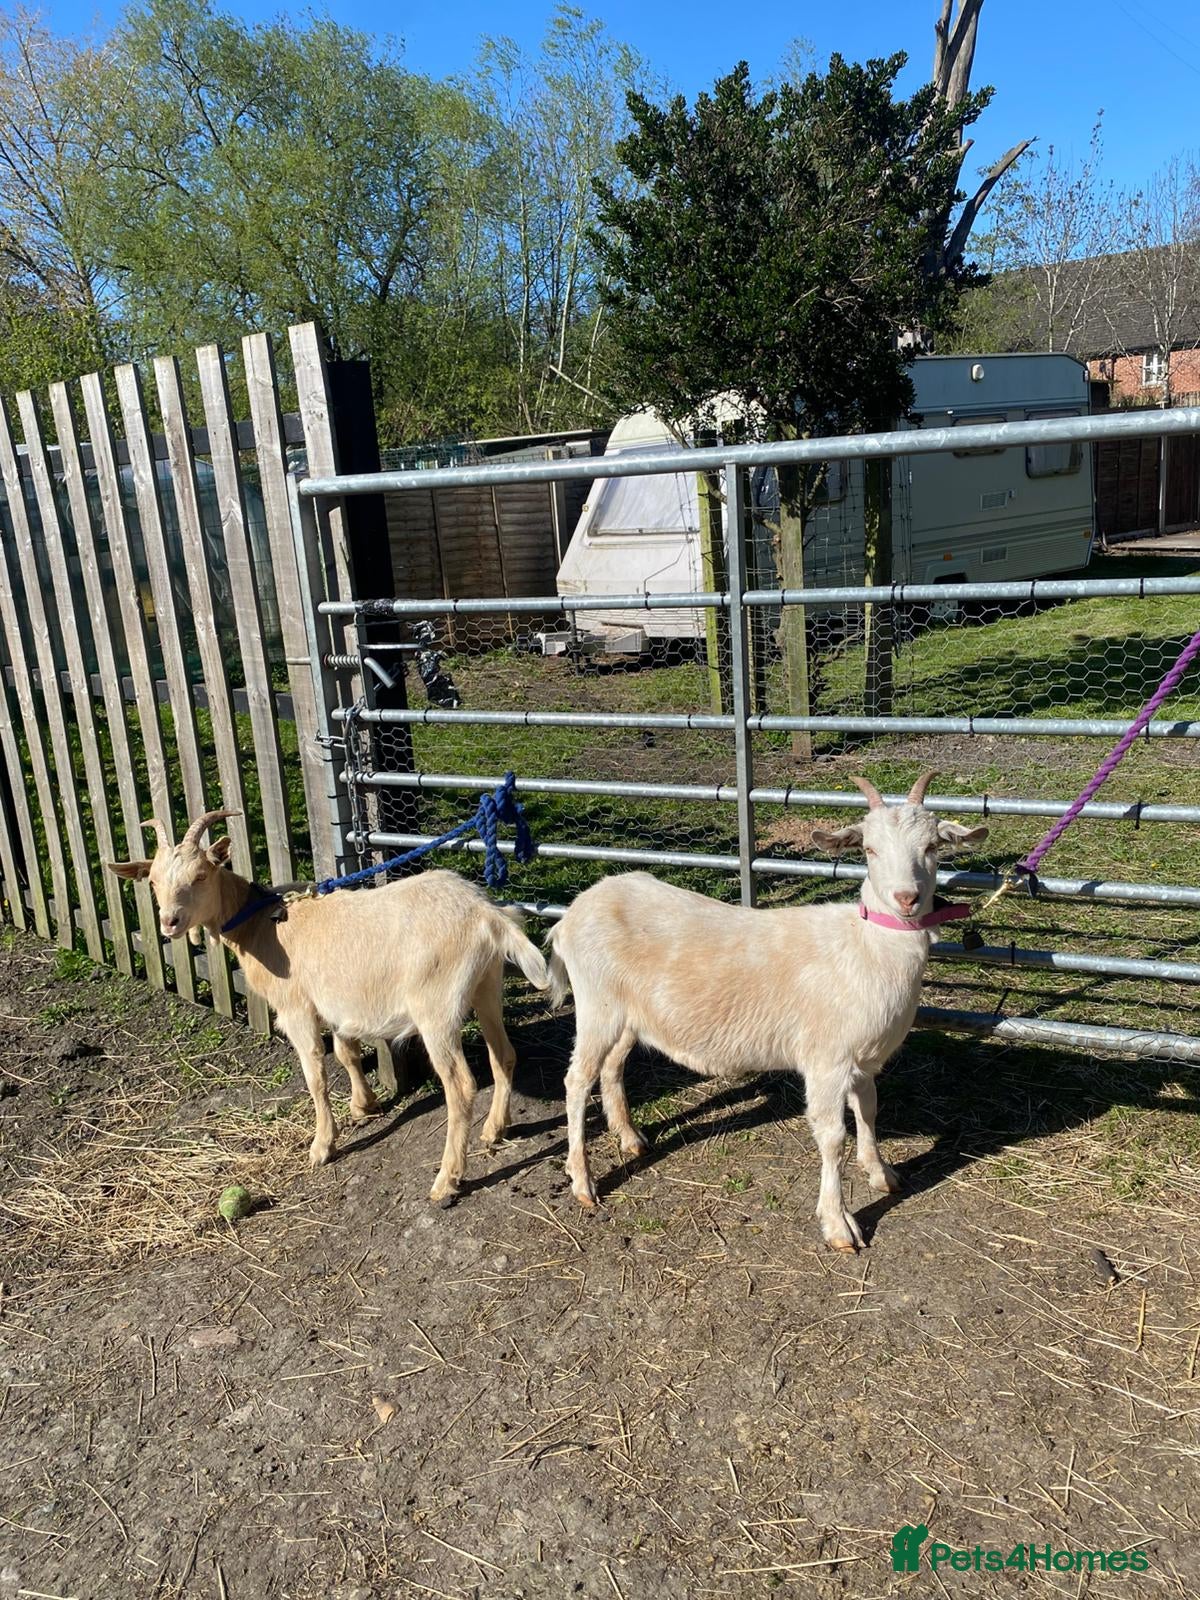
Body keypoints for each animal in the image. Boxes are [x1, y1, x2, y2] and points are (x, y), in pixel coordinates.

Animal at [109, 810, 550, 1203]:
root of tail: (487, 915)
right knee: (504, 1054)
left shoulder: (296, 1006)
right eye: (153, 881)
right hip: (486, 985)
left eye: (201, 875)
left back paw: (447, 1181)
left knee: (460, 1085)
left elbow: (315, 1073)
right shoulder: (337, 1000)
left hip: (435, 1006)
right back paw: (494, 1129)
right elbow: (346, 1051)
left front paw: (323, 1145)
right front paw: (364, 1105)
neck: (260, 924)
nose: (170, 921)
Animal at [545, 772, 987, 1250]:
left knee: (612, 1067)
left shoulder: (863, 1060)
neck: (867, 947)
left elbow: (869, 1111)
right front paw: (839, 1224)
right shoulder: (827, 1060)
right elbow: (833, 1137)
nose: (907, 898)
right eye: (869, 849)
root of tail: (572, 913)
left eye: (932, 847)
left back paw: (630, 1139)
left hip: (627, 1014)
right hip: (596, 1005)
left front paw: (881, 1173)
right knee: (577, 1080)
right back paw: (583, 1182)